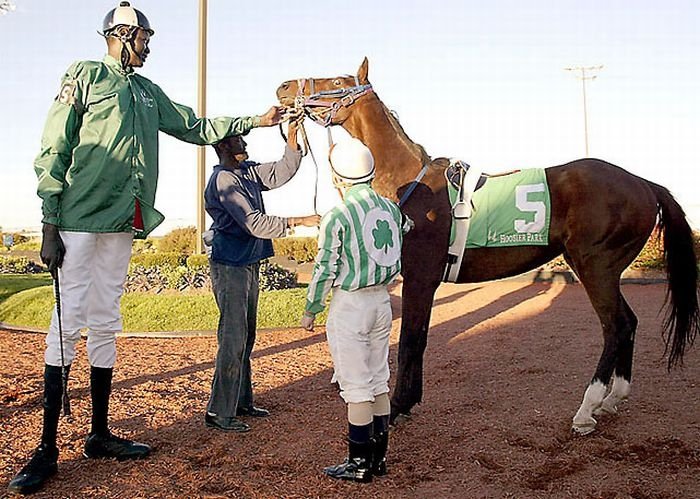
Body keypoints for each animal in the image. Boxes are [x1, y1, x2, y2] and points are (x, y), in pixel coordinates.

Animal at [276, 57, 696, 434]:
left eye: (337, 79)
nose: (283, 88)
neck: (411, 183)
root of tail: (644, 184)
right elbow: (418, 338)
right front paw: (408, 402)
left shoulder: (420, 277)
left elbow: (411, 339)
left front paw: (397, 407)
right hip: (603, 268)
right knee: (629, 323)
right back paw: (613, 398)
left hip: (595, 266)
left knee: (616, 326)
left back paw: (587, 409)